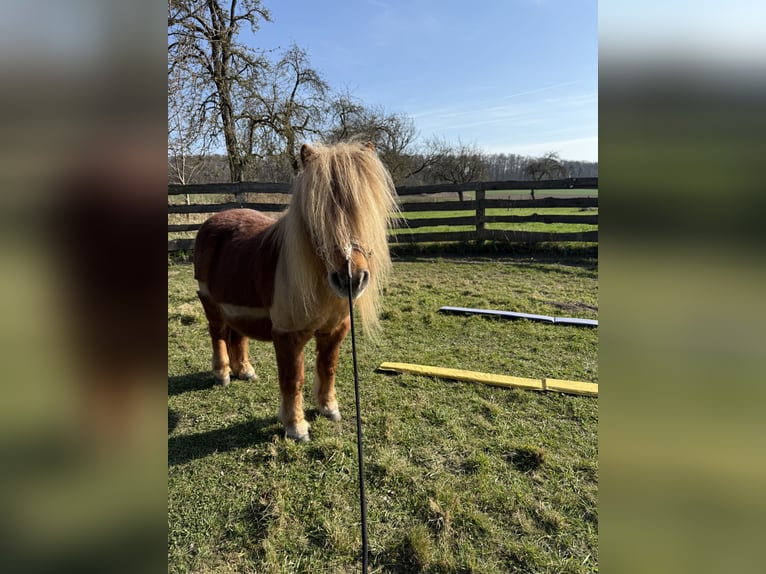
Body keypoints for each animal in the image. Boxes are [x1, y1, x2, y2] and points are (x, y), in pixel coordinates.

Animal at [193, 142, 398, 441]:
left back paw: (244, 370)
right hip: (210, 304)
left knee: (237, 335)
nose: (351, 279)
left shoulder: (334, 331)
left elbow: (328, 367)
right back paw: (223, 374)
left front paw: (329, 408)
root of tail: (212, 221)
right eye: (317, 215)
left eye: (366, 210)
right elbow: (293, 379)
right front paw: (296, 426)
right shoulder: (288, 336)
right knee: (218, 334)